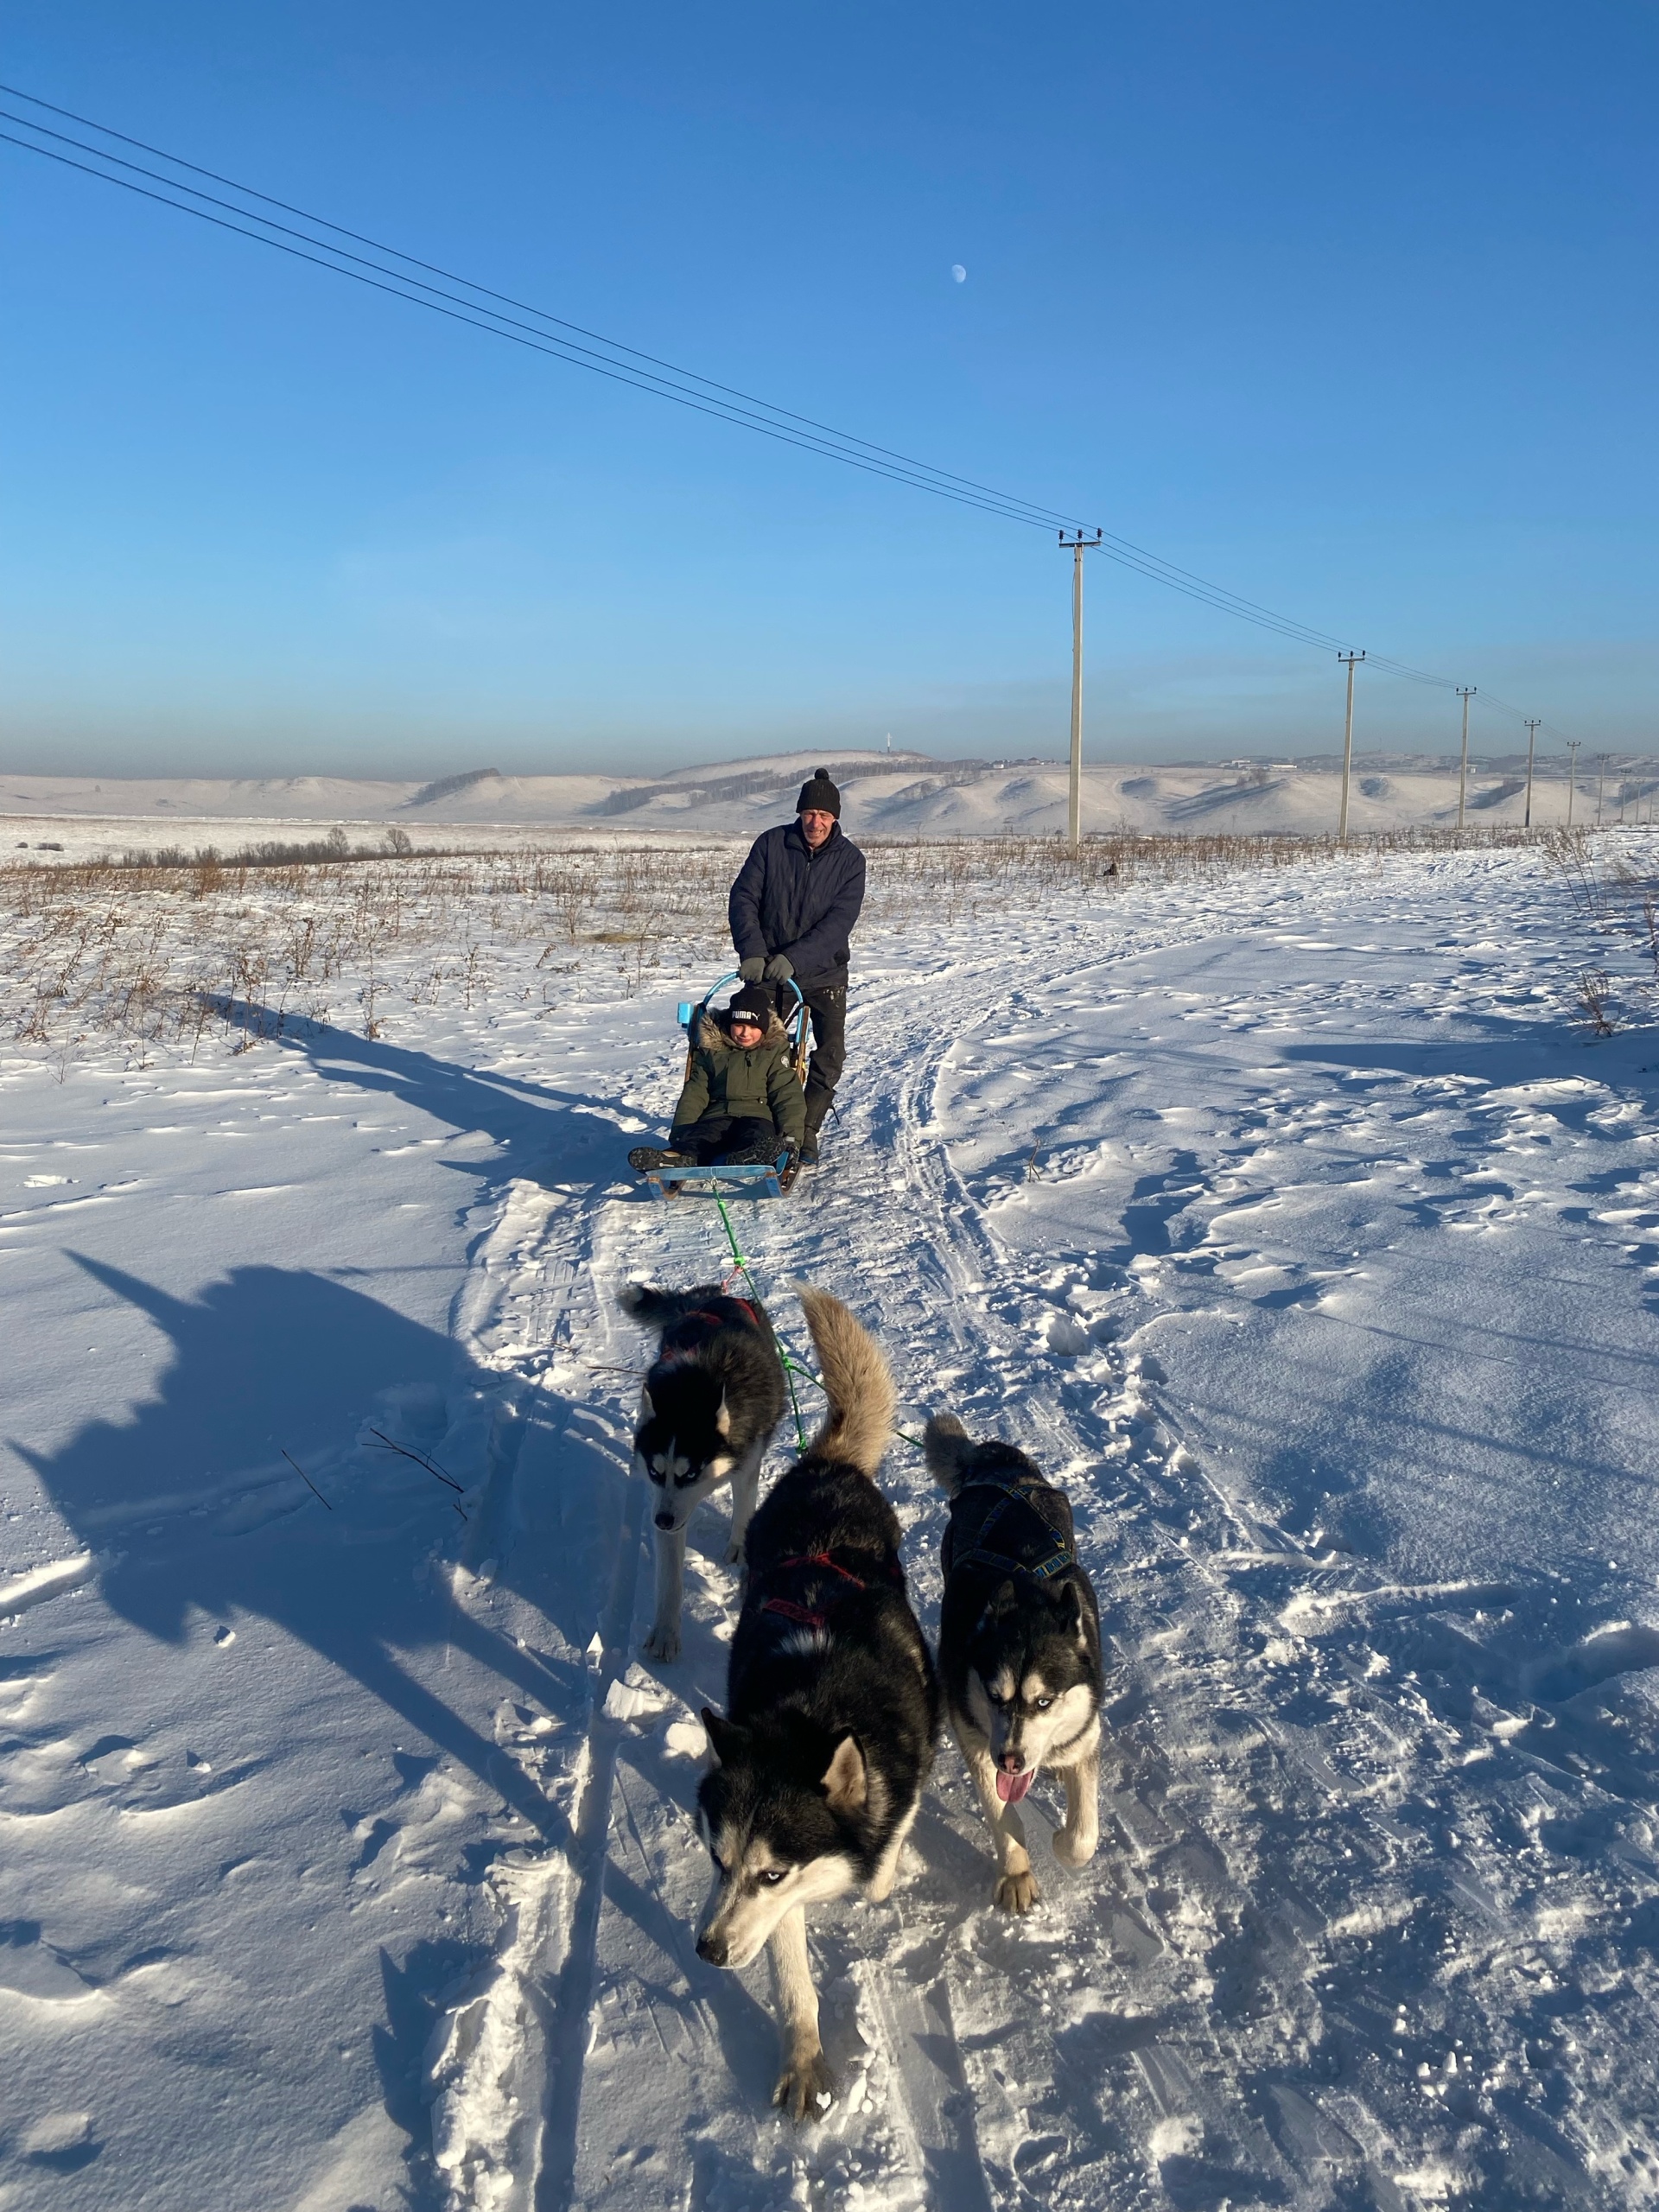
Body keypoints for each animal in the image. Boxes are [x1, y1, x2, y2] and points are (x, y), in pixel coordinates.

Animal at [619, 1282, 787, 1663]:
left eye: (690, 1474)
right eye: (656, 1473)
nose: (661, 1521)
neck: (693, 1392)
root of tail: (710, 1295)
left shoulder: (747, 1461)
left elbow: (744, 1507)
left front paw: (738, 1546)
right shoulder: (667, 1506)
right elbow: (670, 1578)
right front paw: (665, 1633)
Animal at [698, 1292, 938, 2114]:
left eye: (770, 1874)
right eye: (718, 1860)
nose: (706, 1950)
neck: (817, 1702)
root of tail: (826, 1463)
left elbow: (889, 1846)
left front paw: (884, 1876)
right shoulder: (775, 1908)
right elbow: (791, 1976)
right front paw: (804, 2062)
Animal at [925, 1424, 1106, 1910]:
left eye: (1045, 1701)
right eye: (993, 1696)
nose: (1011, 1761)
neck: (1026, 1601)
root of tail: (1000, 1466)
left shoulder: (1086, 1737)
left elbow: (1083, 1838)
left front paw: (1063, 1839)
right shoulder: (977, 1742)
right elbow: (1004, 1817)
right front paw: (1016, 1874)